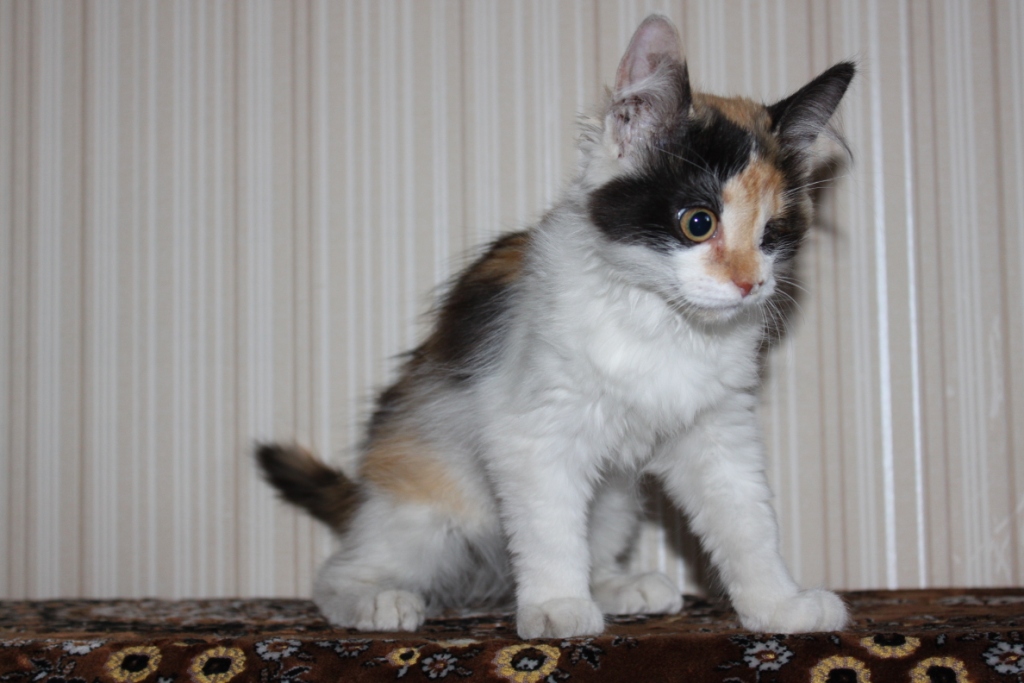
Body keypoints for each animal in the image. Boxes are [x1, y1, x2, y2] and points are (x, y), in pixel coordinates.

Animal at [257, 14, 855, 639]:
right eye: (698, 222)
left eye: (773, 236)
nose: (749, 284)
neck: (662, 322)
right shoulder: (532, 431)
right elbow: (548, 530)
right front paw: (556, 606)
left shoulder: (718, 431)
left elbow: (748, 521)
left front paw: (778, 605)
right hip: (429, 501)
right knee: (338, 572)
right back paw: (378, 599)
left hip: (614, 500)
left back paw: (618, 585)